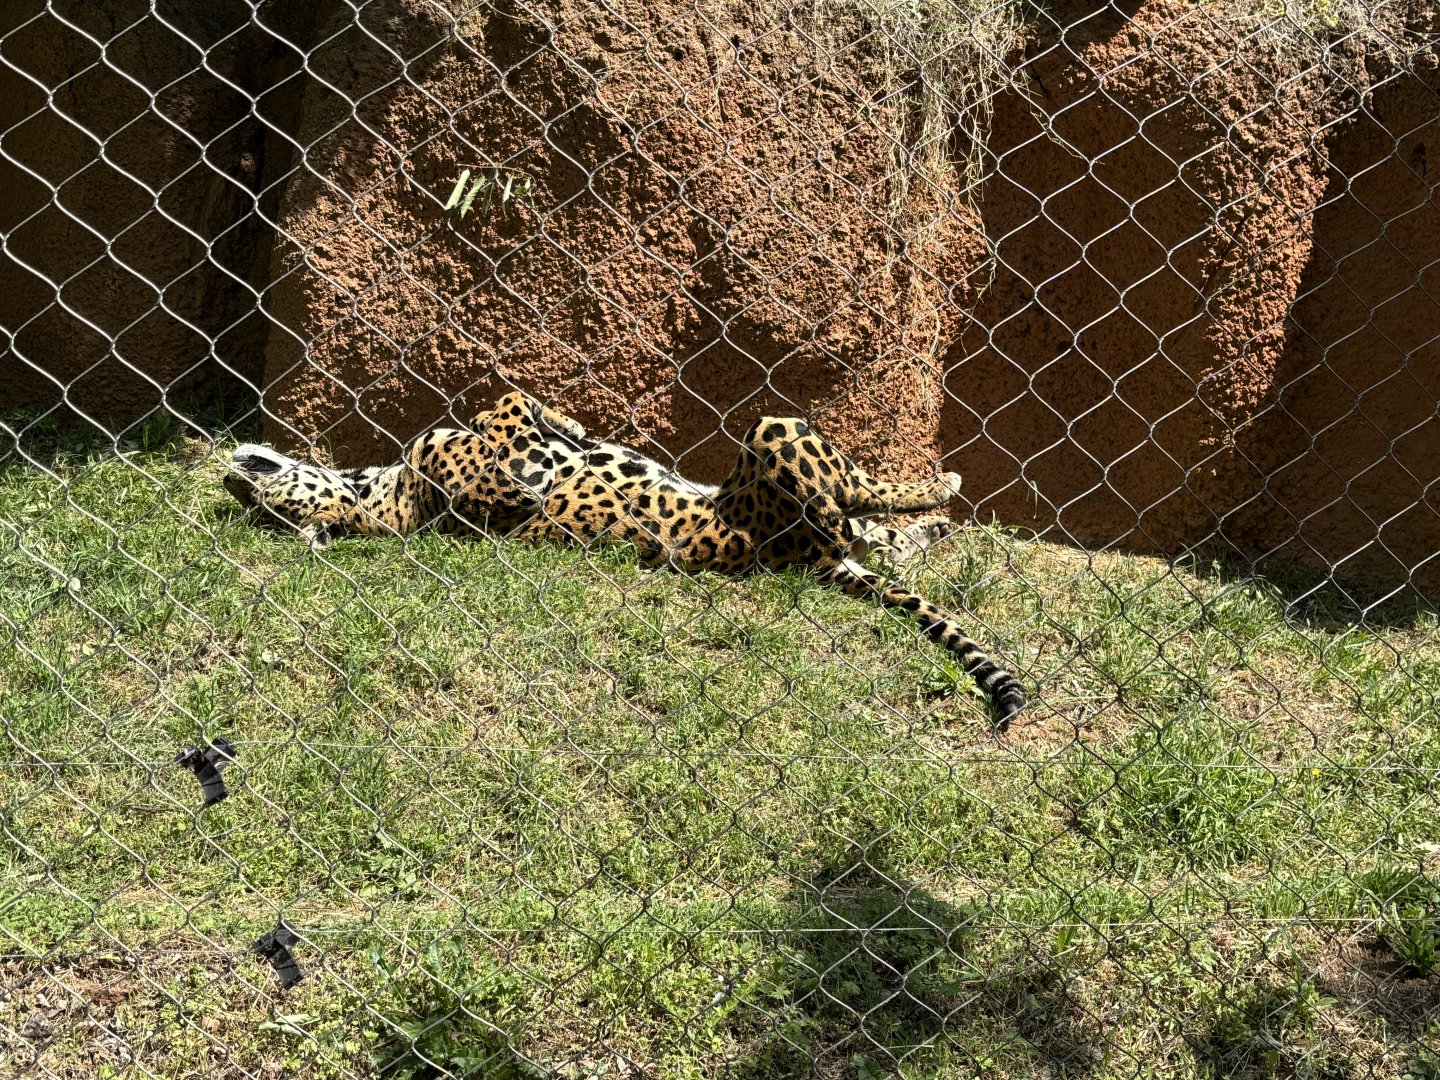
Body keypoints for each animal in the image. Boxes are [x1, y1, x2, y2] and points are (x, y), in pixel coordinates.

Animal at [223, 391, 1027, 725]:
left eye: (269, 509)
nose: (233, 482)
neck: (381, 498)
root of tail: (799, 558)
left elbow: (515, 398)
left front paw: (573, 423)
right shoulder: (506, 466)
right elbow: (503, 402)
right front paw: (567, 424)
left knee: (880, 536)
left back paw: (936, 524)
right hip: (778, 437)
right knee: (860, 496)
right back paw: (941, 487)